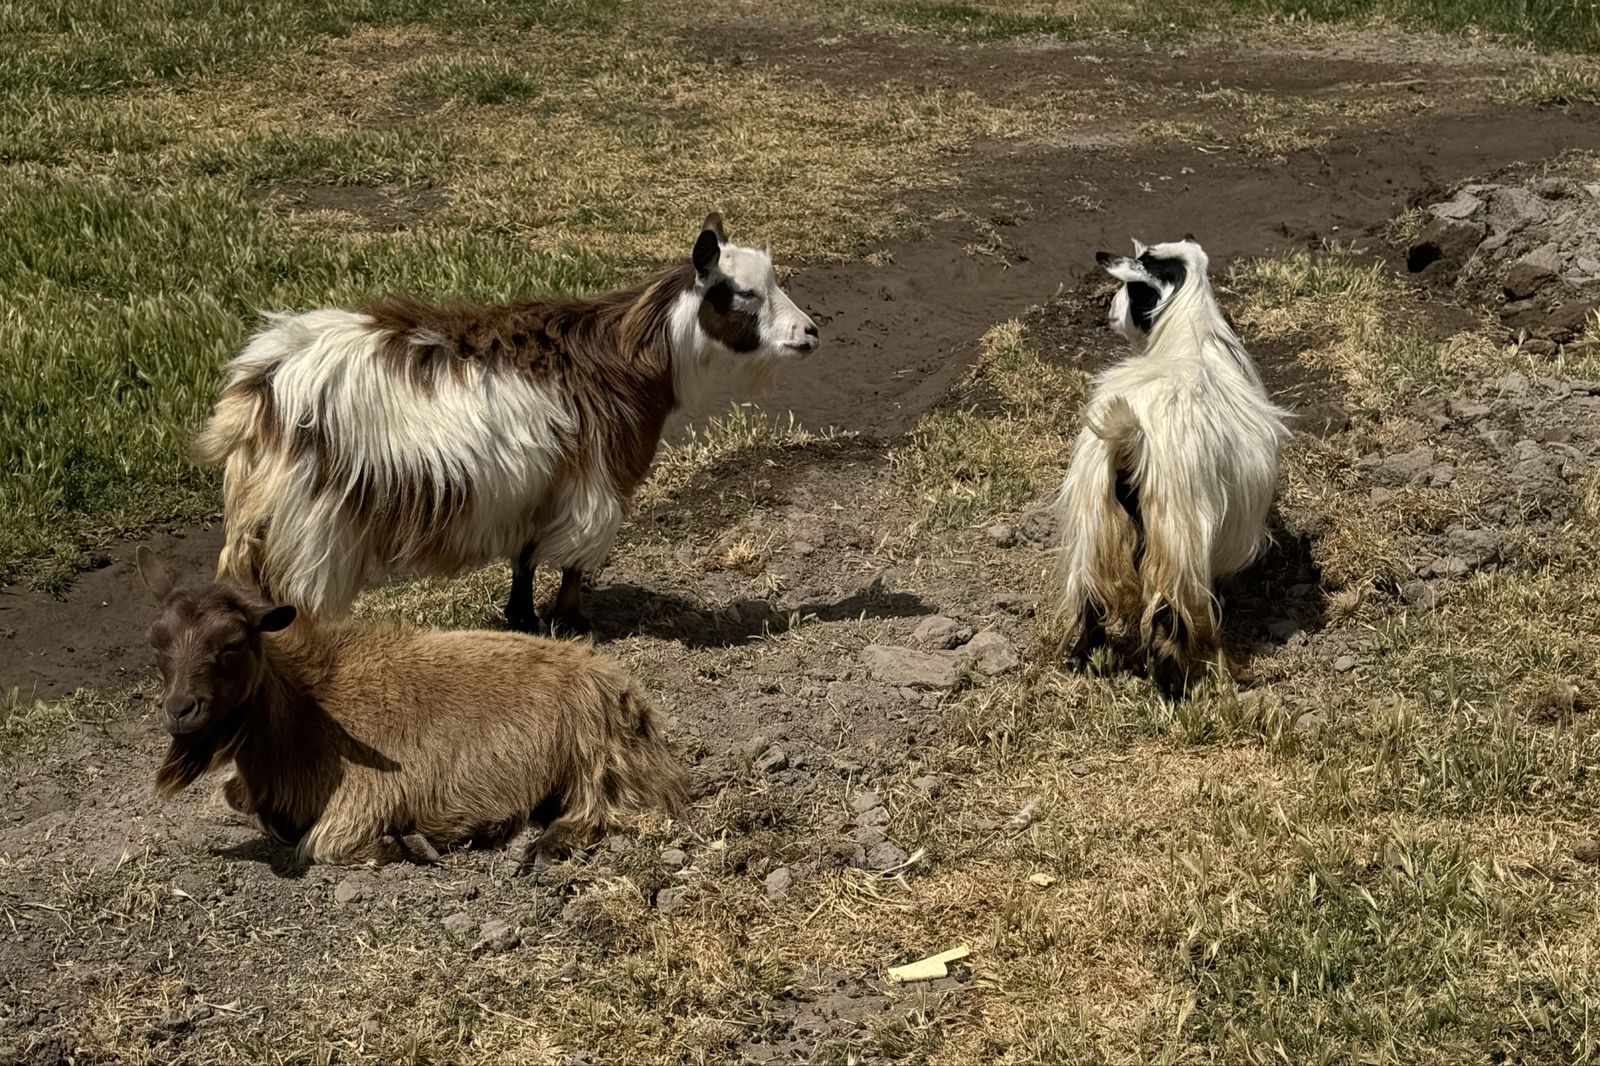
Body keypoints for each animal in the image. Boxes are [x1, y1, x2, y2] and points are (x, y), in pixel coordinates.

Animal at [134, 546, 688, 866]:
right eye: (156, 644)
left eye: (231, 645)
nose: (180, 710)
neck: (308, 708)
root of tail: (628, 694)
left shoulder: (362, 800)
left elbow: (322, 846)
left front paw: (408, 844)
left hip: (594, 752)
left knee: (603, 809)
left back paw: (542, 846)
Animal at [195, 213, 819, 635]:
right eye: (742, 293)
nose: (810, 332)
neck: (630, 355)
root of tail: (261, 383)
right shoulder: (597, 479)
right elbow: (573, 559)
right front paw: (570, 623)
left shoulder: (537, 483)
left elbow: (525, 557)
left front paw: (521, 618)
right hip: (313, 518)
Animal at [1057, 237, 1289, 696]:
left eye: (1132, 290)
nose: (1111, 313)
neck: (1189, 333)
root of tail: (1129, 437)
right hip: (1176, 535)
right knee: (1170, 615)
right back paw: (1175, 686)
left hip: (1096, 524)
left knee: (1091, 601)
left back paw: (1084, 661)